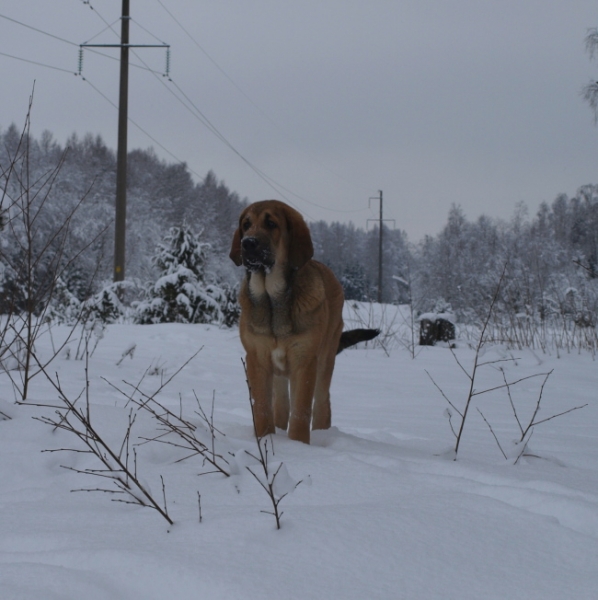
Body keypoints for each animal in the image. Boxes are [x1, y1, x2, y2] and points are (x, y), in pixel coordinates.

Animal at [231, 199, 380, 442]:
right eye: (246, 224)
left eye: (271, 223)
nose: (248, 243)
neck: (273, 300)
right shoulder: (257, 358)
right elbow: (262, 408)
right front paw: (265, 440)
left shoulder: (304, 360)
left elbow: (301, 412)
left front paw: (298, 445)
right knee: (281, 405)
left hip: (325, 359)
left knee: (322, 404)